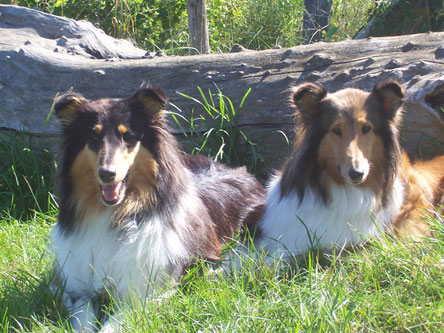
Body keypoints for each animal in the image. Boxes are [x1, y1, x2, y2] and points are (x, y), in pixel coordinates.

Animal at [50, 86, 266, 330]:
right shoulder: (77, 287)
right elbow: (83, 319)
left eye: (128, 137)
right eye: (93, 137)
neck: (116, 215)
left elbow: (113, 323)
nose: (107, 174)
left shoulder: (147, 291)